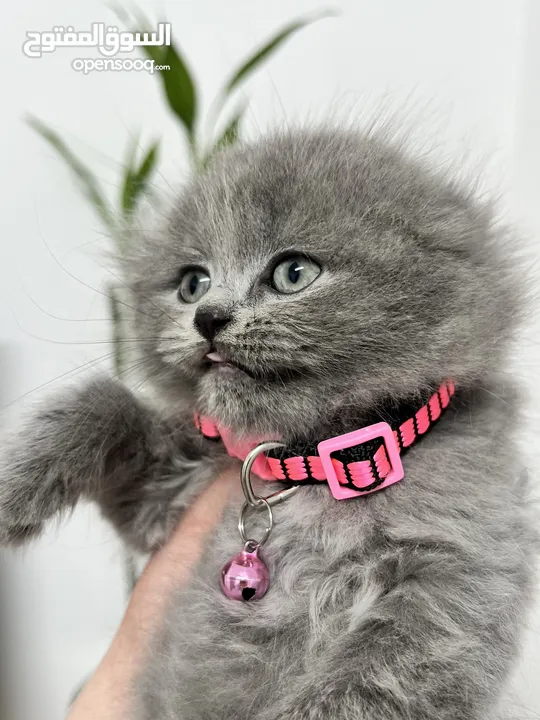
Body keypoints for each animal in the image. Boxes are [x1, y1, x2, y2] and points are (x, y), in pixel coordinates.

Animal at [2, 126, 536, 716]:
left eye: (293, 273)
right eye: (192, 284)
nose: (207, 317)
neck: (308, 466)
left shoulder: (452, 588)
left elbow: (360, 689)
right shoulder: (166, 493)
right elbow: (107, 400)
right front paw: (13, 485)